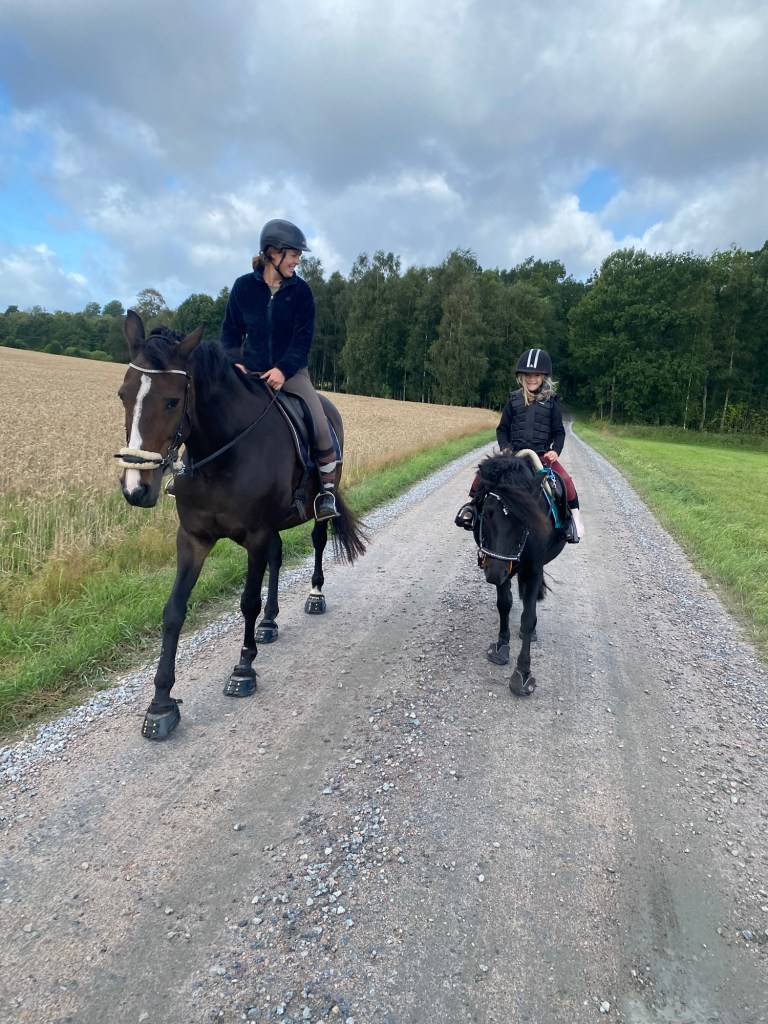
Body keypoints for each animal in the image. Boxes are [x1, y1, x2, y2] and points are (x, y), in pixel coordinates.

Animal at [116, 310, 367, 740]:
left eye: (172, 400)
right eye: (123, 394)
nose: (136, 488)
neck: (222, 453)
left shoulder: (254, 535)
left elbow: (247, 600)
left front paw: (243, 670)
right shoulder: (193, 538)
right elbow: (174, 610)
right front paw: (161, 703)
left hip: (315, 511)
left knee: (317, 542)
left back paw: (313, 597)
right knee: (277, 558)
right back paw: (269, 622)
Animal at [472, 451, 566, 695]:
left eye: (526, 518)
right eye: (486, 513)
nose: (494, 574)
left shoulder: (532, 570)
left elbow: (528, 618)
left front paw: (523, 673)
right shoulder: (500, 565)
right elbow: (504, 604)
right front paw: (501, 645)